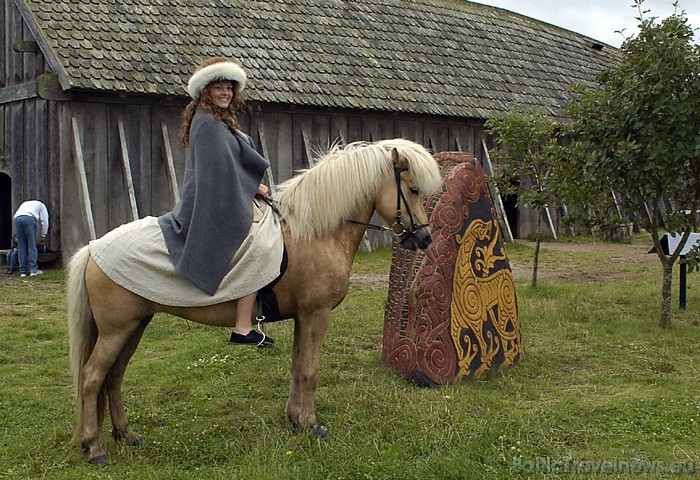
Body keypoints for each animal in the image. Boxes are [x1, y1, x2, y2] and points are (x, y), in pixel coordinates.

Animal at [64, 139, 438, 464]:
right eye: (413, 190)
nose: (425, 238)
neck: (313, 232)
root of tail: (92, 249)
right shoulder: (316, 315)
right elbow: (310, 370)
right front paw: (312, 425)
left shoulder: (302, 317)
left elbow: (297, 367)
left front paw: (294, 420)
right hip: (117, 330)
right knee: (93, 377)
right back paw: (94, 448)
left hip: (135, 325)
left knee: (114, 376)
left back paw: (126, 435)